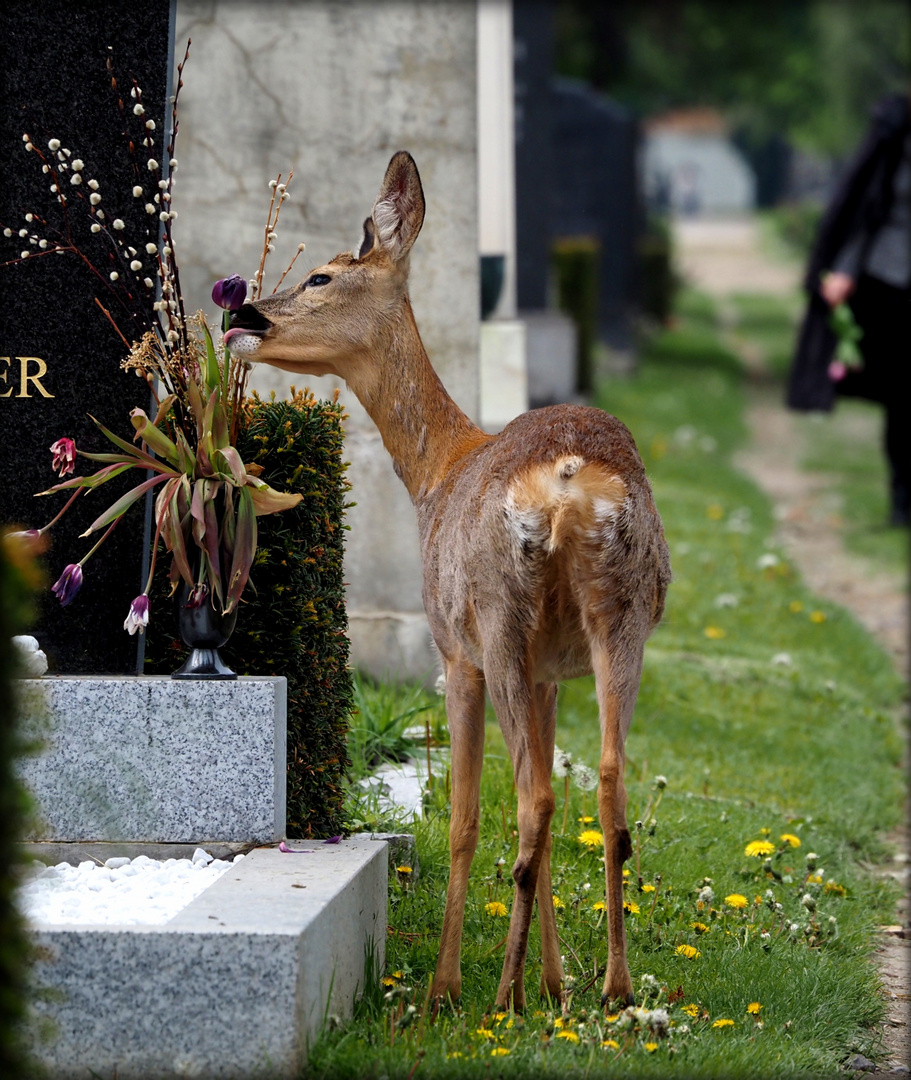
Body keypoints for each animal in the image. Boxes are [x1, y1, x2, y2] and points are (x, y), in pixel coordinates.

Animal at [225, 152, 673, 1010]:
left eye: (322, 276)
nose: (243, 316)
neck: (435, 472)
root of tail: (569, 481)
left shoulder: (454, 654)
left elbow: (464, 818)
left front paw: (449, 986)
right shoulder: (550, 671)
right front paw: (556, 983)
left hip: (496, 617)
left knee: (531, 798)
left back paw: (498, 994)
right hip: (622, 615)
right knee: (605, 784)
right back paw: (612, 988)